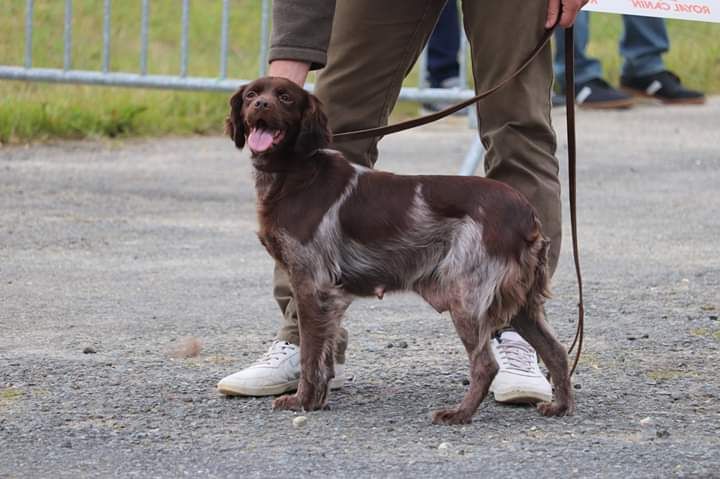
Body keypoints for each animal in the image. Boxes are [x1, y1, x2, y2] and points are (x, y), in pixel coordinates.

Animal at [225, 77, 572, 426]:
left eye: (284, 97)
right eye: (252, 95)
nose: (261, 105)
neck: (296, 172)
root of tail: (525, 212)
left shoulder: (311, 283)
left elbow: (311, 353)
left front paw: (302, 401)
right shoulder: (326, 293)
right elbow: (324, 355)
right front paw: (317, 400)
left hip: (467, 297)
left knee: (486, 365)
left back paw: (459, 414)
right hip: (521, 303)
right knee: (556, 352)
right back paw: (559, 406)